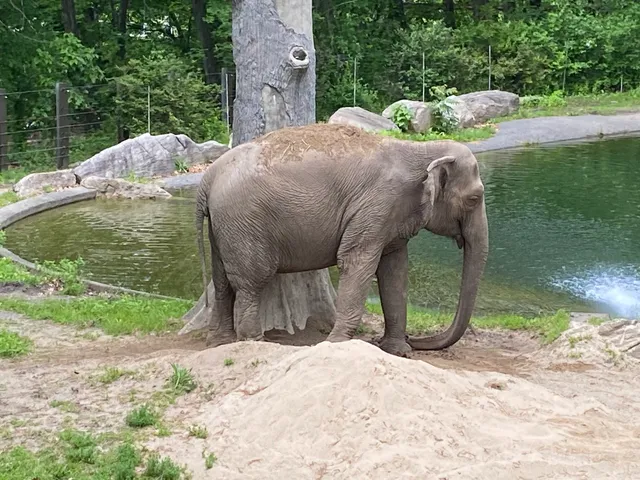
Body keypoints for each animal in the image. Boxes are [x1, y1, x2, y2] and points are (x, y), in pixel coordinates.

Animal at [195, 123, 488, 356]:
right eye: (474, 199)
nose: (415, 339)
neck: (420, 148)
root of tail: (208, 178)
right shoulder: (377, 205)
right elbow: (355, 262)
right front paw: (336, 343)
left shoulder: (391, 215)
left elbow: (394, 271)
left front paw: (398, 351)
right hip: (244, 223)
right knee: (250, 283)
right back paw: (255, 342)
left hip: (224, 227)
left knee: (222, 281)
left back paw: (221, 342)